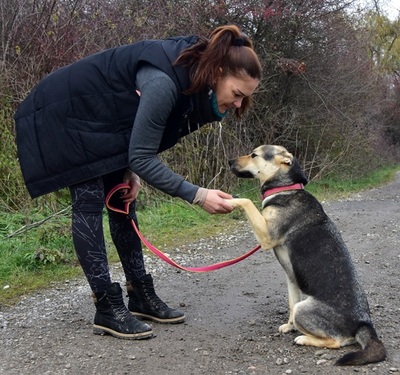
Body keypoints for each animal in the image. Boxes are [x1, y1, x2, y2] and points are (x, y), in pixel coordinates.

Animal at [227, 145, 386, 368]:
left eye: (254, 155)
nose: (229, 161)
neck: (285, 188)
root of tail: (363, 324)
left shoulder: (267, 236)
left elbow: (247, 201)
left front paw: (230, 199)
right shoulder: (291, 278)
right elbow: (290, 302)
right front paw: (289, 326)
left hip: (305, 309)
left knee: (335, 342)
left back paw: (303, 338)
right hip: (302, 306)